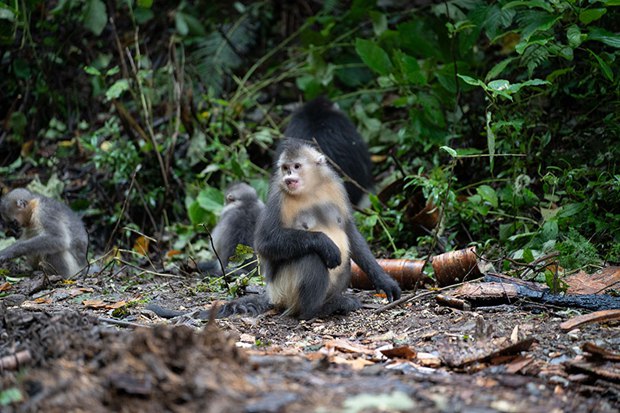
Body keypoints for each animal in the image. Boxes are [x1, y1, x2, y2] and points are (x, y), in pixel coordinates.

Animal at [218, 138, 402, 318]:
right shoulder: (278, 198)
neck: (309, 190)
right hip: (284, 290)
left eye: (296, 166)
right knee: (312, 255)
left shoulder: (335, 186)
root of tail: (272, 295)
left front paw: (384, 281)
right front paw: (324, 242)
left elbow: (348, 230)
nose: (288, 176)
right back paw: (316, 310)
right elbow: (265, 243)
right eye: (285, 168)